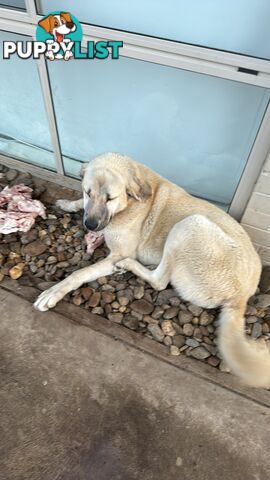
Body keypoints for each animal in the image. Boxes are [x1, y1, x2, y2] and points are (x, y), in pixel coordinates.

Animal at [34, 154, 270, 390]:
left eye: (110, 198)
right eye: (87, 192)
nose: (90, 225)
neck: (130, 202)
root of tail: (241, 297)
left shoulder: (116, 254)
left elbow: (79, 274)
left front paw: (53, 292)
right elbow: (79, 204)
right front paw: (69, 204)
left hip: (190, 224)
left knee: (160, 281)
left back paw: (129, 266)